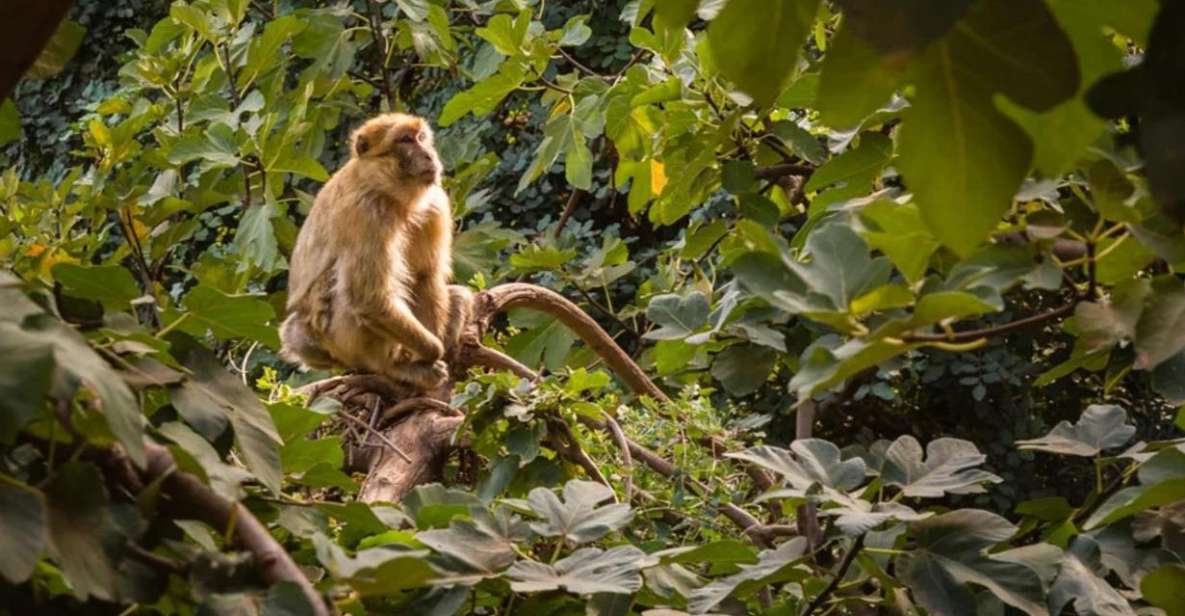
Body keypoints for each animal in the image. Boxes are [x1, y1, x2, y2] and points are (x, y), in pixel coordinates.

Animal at [280, 111, 471, 390]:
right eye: (405, 140)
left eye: (421, 138)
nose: (429, 154)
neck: (389, 194)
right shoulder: (366, 213)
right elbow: (369, 298)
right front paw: (432, 352)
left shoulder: (434, 205)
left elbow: (425, 276)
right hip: (344, 345)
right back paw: (394, 367)